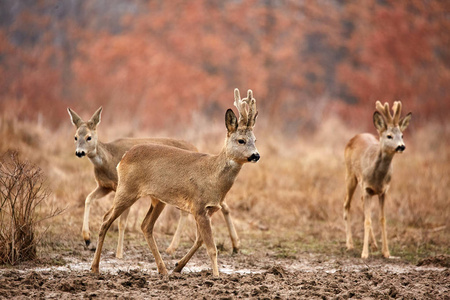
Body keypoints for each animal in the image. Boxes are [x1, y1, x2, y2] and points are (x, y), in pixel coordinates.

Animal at [67, 107, 241, 258]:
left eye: (89, 137)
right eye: (75, 137)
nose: (79, 152)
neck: (108, 159)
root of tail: (196, 148)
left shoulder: (121, 186)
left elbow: (122, 221)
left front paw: (119, 253)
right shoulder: (105, 186)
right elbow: (88, 199)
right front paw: (87, 239)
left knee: (200, 209)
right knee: (216, 206)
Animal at [90, 88, 260, 276]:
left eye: (255, 140)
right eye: (241, 140)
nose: (256, 155)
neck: (213, 176)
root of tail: (124, 158)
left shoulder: (209, 209)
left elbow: (199, 241)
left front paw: (178, 266)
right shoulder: (199, 206)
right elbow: (211, 248)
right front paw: (216, 276)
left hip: (157, 199)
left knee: (145, 225)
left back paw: (163, 269)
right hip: (126, 189)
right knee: (106, 219)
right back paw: (95, 267)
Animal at [344, 100, 412, 258]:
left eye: (402, 135)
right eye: (389, 136)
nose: (401, 147)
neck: (377, 177)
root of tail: (356, 136)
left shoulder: (384, 191)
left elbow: (382, 219)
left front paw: (386, 252)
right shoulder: (366, 188)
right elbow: (368, 220)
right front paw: (364, 254)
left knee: (361, 206)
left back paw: (374, 244)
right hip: (350, 175)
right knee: (346, 205)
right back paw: (349, 244)